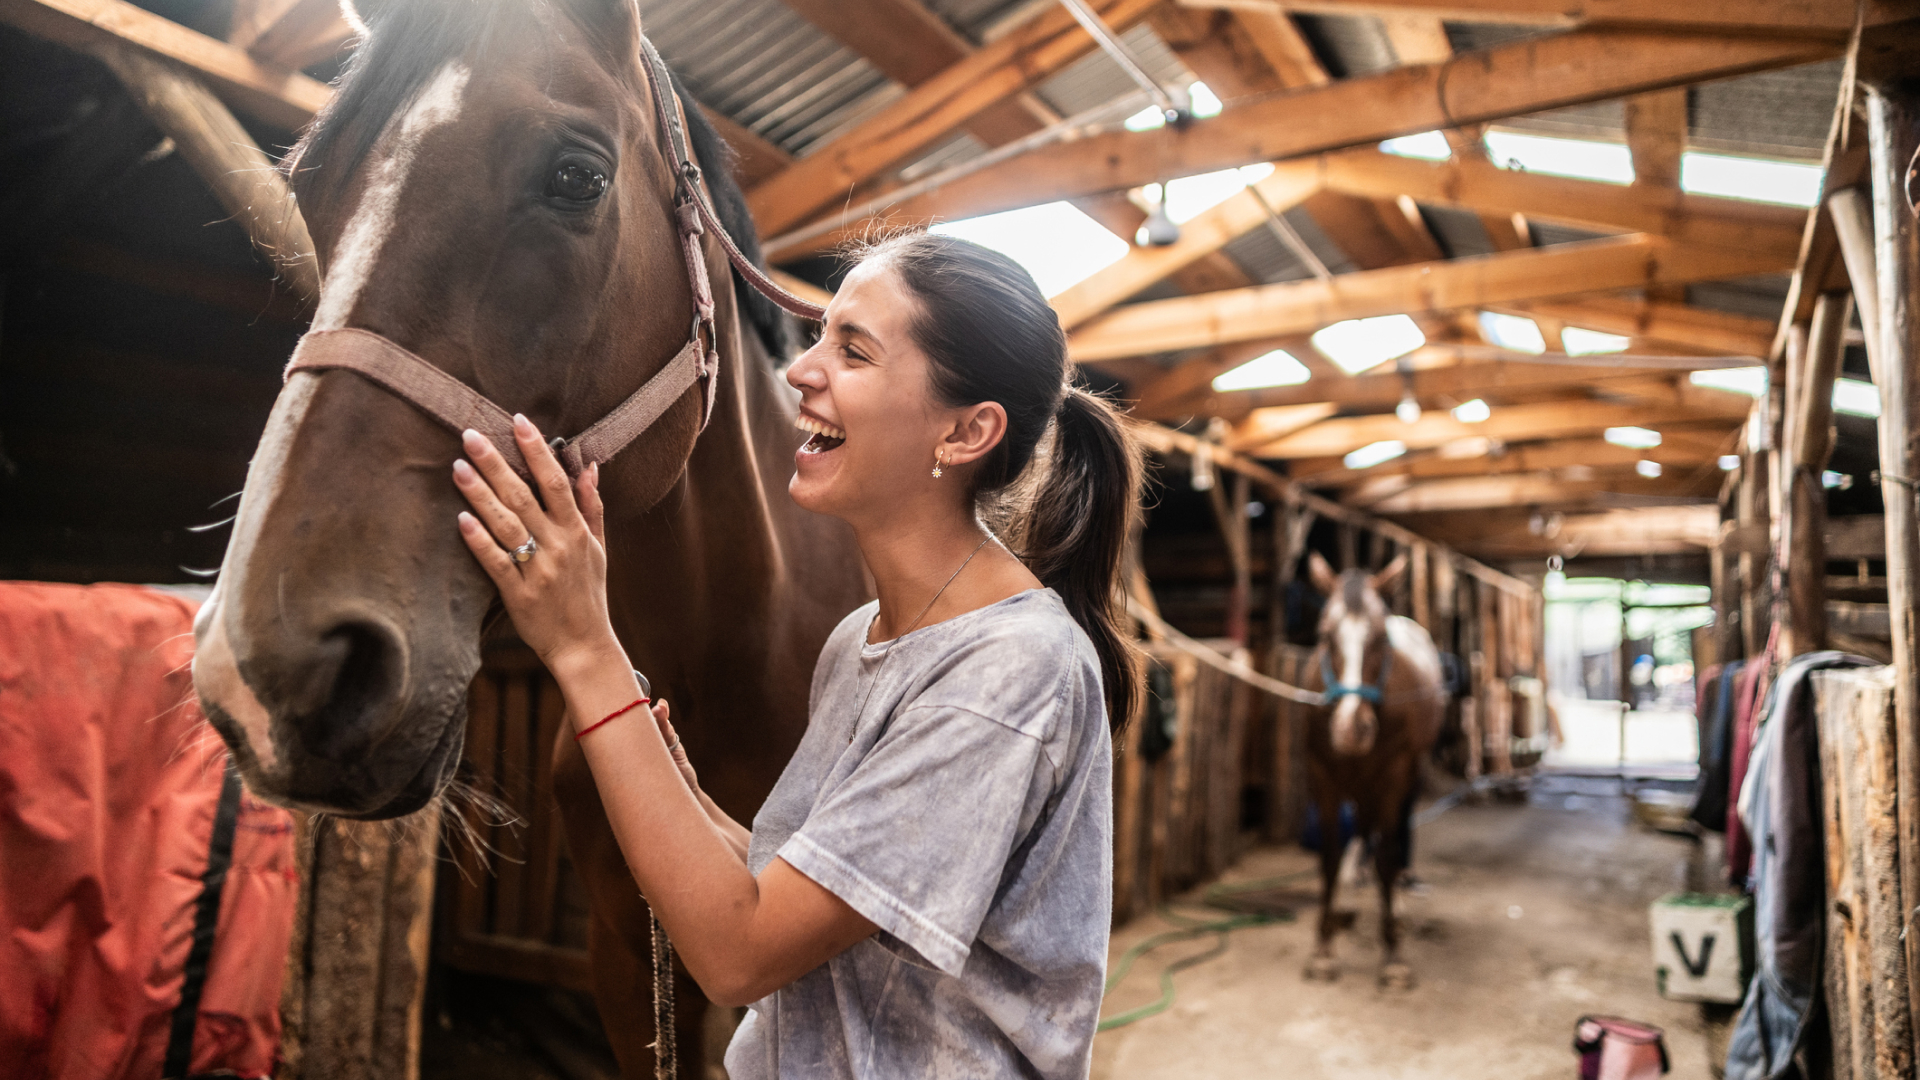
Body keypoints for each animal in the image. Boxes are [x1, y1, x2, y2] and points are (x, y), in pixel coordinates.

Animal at [1299, 551, 1445, 990]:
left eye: (1380, 637)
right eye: (1325, 633)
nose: (1352, 728)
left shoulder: (1393, 776)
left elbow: (1387, 855)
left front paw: (1394, 954)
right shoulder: (1321, 776)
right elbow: (1329, 857)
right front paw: (1323, 949)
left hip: (1406, 778)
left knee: (1391, 839)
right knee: (1363, 831)